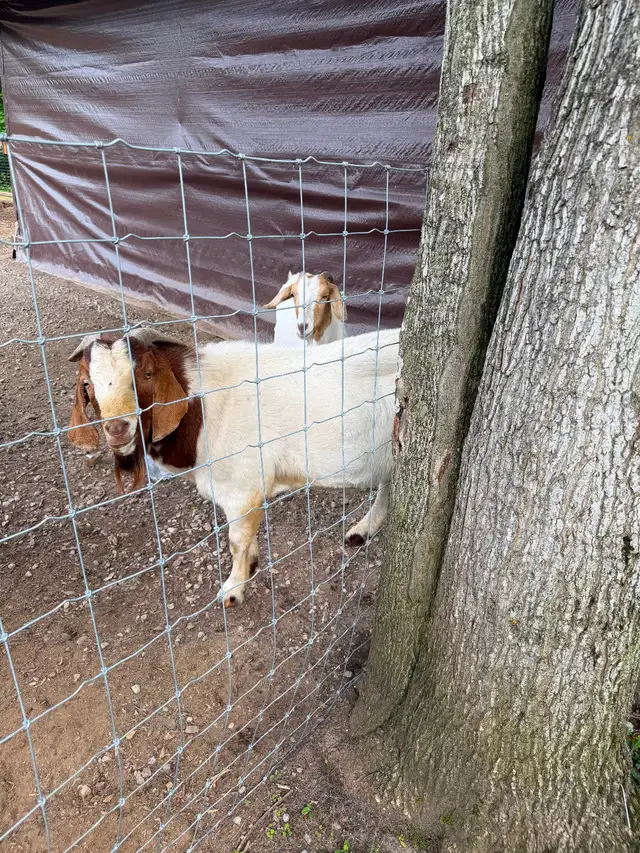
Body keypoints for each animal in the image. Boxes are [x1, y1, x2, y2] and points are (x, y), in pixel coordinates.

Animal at [67, 327, 398, 606]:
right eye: (87, 384)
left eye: (147, 374)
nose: (117, 429)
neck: (202, 410)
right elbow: (243, 539)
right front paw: (251, 564)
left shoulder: (243, 490)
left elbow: (235, 541)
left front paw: (232, 590)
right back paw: (361, 531)